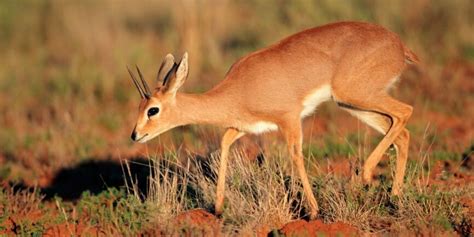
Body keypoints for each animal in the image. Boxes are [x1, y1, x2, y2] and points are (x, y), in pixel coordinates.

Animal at [127, 21, 418, 218]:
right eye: (141, 107)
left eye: (153, 110)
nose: (135, 134)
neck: (239, 88)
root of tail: (399, 44)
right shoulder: (243, 126)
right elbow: (224, 144)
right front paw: (218, 208)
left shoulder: (289, 119)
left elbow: (296, 156)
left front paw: (314, 212)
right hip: (352, 103)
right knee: (401, 133)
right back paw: (394, 198)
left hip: (356, 95)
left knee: (406, 111)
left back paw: (366, 176)